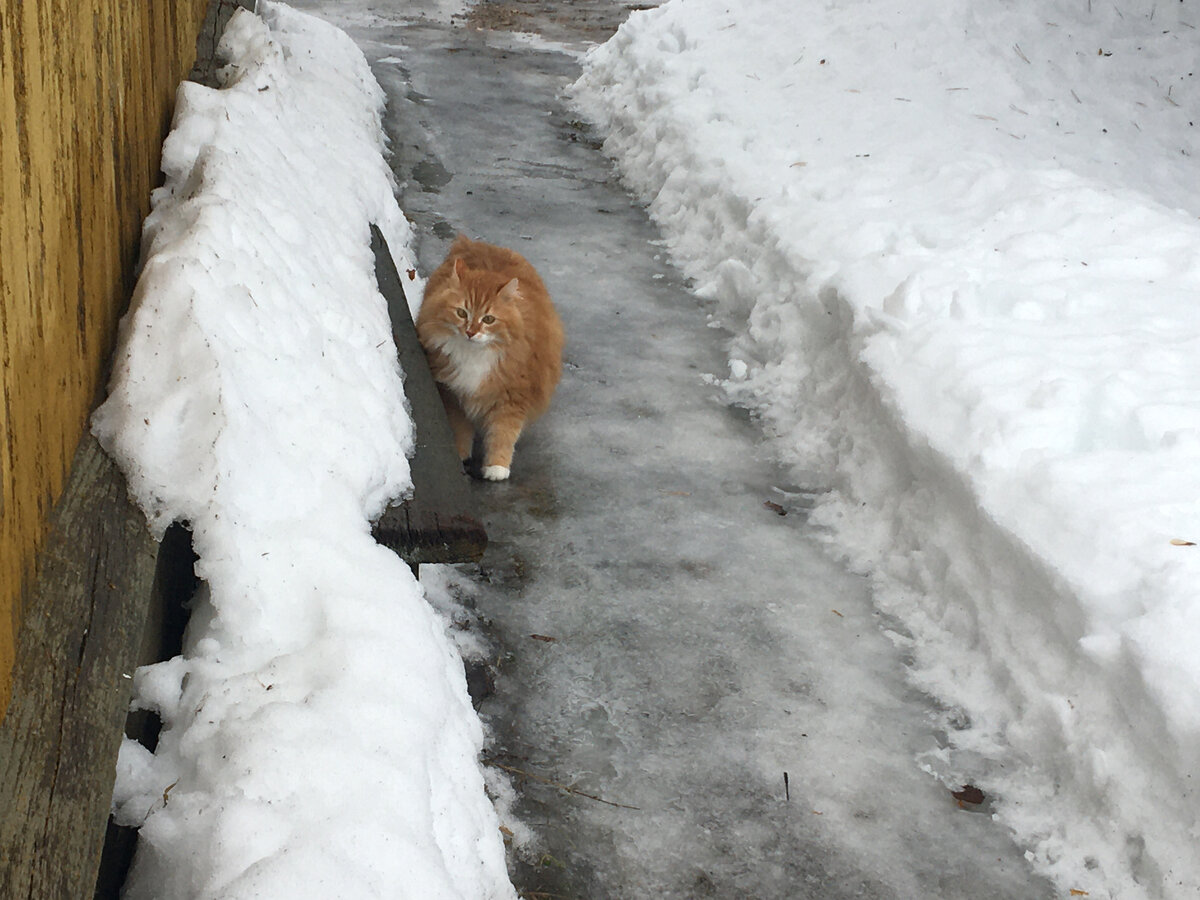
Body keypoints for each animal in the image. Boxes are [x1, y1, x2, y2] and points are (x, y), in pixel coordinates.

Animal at [415, 236, 564, 482]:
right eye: (462, 313)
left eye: (488, 319)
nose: (470, 332)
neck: (474, 355)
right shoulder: (453, 394)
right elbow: (460, 430)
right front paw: (461, 455)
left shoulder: (512, 397)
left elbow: (503, 435)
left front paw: (497, 468)